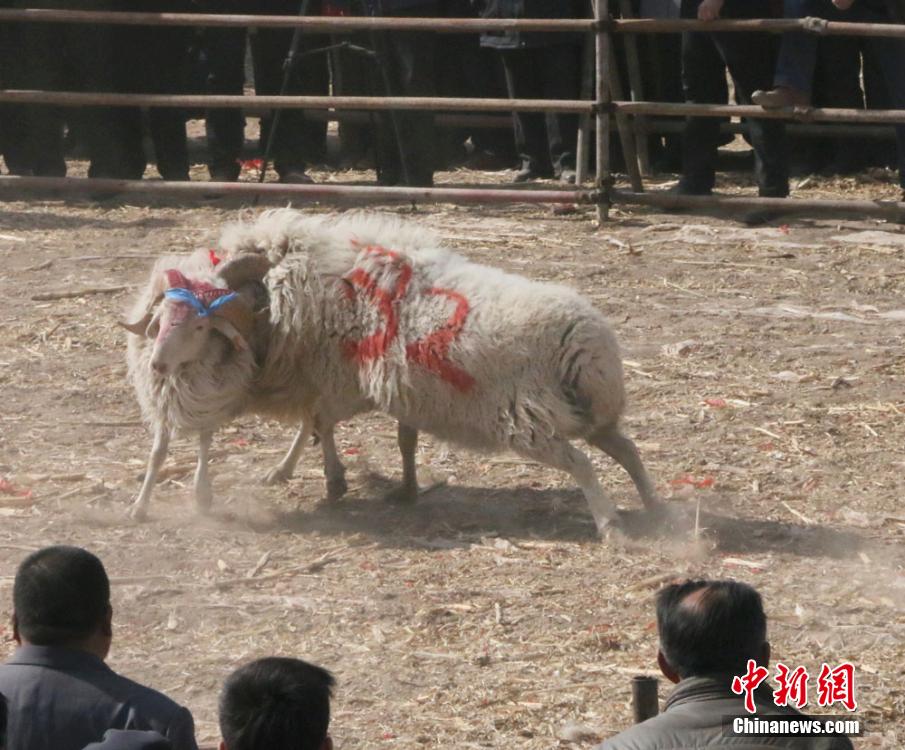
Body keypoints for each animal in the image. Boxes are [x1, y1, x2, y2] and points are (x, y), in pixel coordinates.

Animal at [217, 208, 662, 535]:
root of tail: (585, 343)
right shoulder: (400, 389)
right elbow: (400, 438)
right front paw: (406, 488)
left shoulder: (352, 384)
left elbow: (319, 420)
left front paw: (334, 480)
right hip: (591, 412)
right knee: (626, 449)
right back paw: (656, 506)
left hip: (527, 421)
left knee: (581, 462)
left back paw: (610, 524)